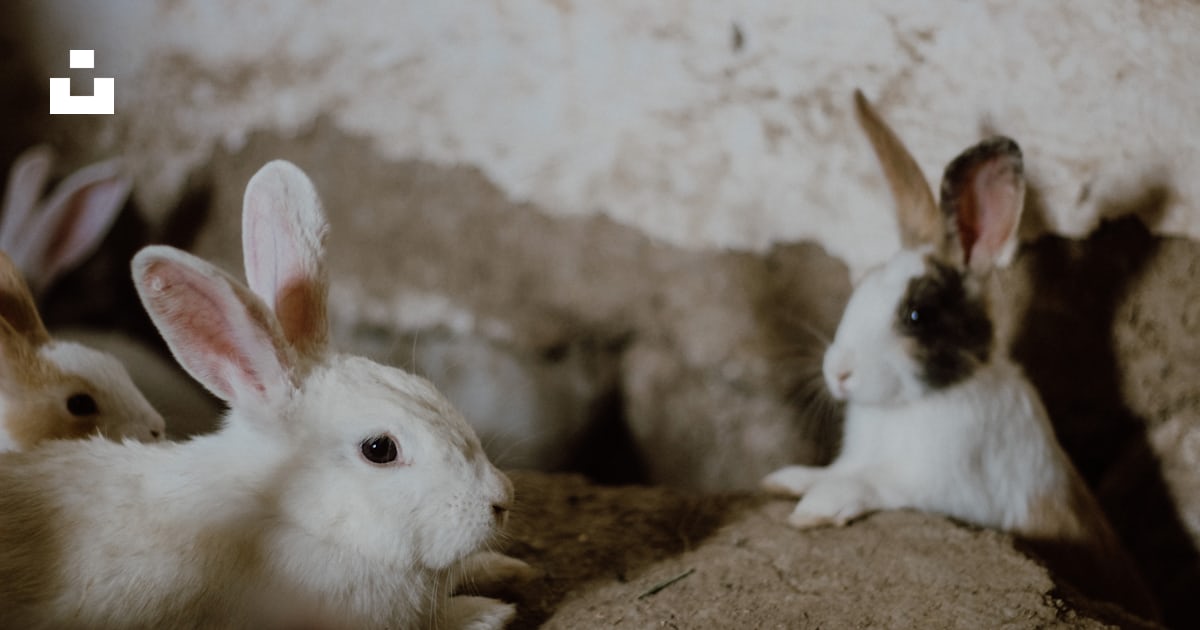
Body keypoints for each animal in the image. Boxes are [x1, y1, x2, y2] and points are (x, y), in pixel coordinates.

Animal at [762, 90, 1158, 620]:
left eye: (917, 315)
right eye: (860, 286)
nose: (839, 373)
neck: (916, 403)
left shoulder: (938, 486)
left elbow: (875, 484)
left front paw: (818, 507)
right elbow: (839, 470)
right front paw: (787, 480)